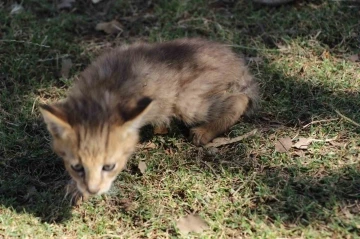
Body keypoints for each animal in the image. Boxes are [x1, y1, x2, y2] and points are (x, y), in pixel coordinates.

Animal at [39, 37, 258, 202]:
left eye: (108, 167)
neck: (99, 98)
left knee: (239, 100)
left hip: (188, 104)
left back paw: (204, 132)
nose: (93, 190)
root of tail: (234, 59)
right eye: (77, 167)